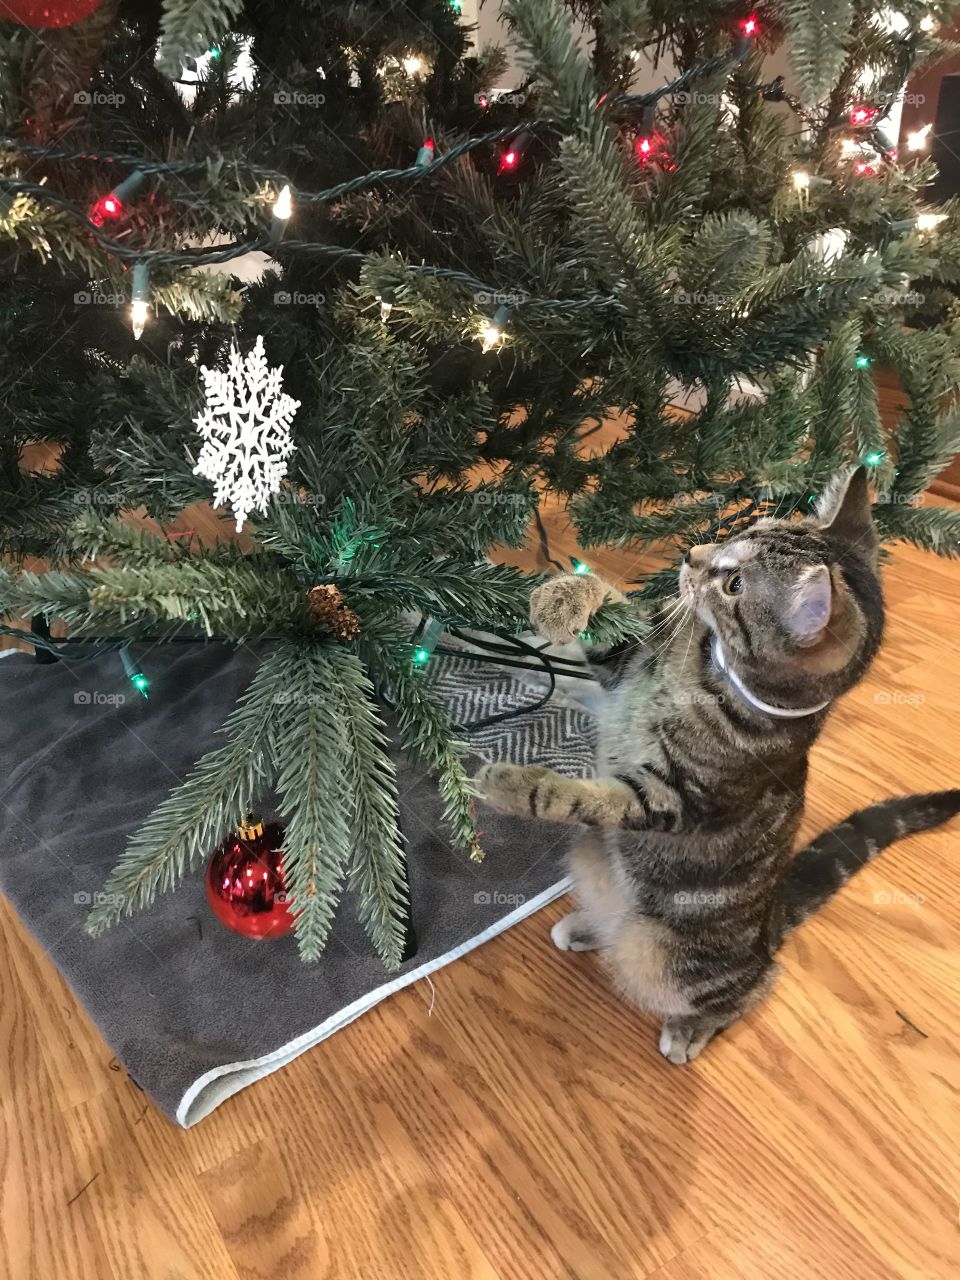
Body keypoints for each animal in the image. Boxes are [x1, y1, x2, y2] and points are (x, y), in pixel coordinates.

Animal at [476, 468, 960, 1059]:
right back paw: (591, 927)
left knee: (755, 985)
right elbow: (610, 609)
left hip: (674, 959)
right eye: (743, 530)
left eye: (734, 586)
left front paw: (516, 785)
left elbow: (588, 797)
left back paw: (692, 1027)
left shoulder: (672, 798)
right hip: (594, 866)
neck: (708, 670)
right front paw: (561, 594)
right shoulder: (629, 663)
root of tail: (770, 924)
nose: (691, 553)